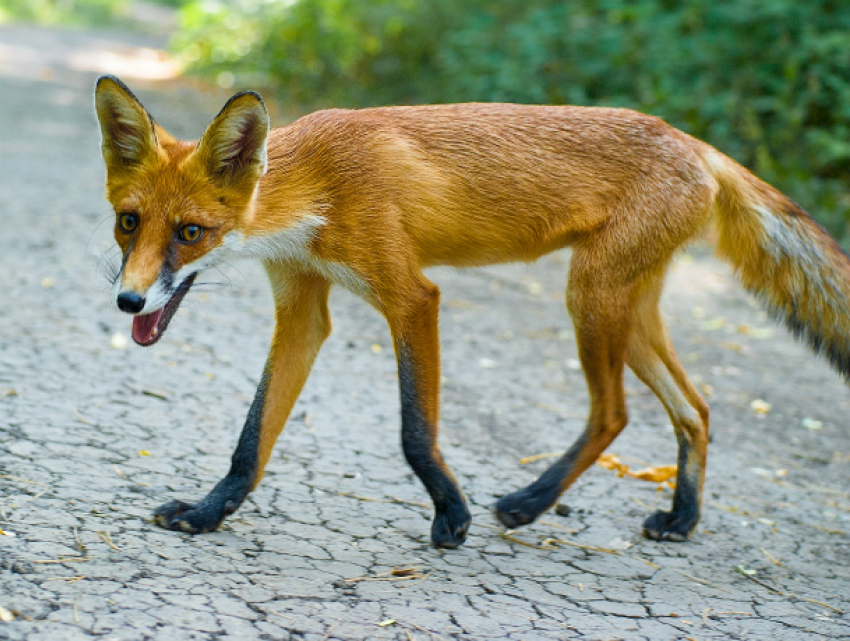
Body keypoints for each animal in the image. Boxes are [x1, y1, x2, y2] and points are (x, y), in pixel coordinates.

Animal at [94, 74, 848, 544]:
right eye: (129, 223)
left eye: (190, 232)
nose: (129, 299)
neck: (319, 188)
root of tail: (695, 144)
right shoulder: (303, 310)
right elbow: (251, 440)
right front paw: (208, 512)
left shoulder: (412, 298)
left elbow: (413, 432)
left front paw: (451, 515)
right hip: (626, 310)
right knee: (695, 408)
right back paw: (681, 517)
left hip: (590, 298)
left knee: (615, 413)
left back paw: (530, 503)